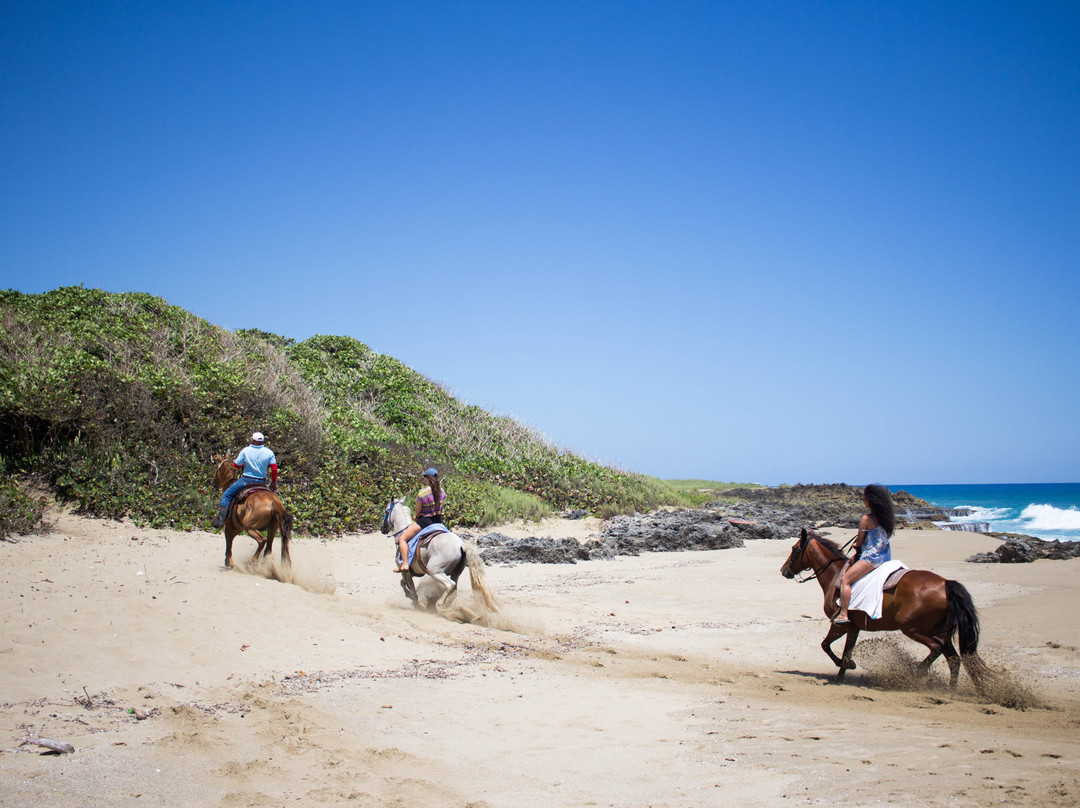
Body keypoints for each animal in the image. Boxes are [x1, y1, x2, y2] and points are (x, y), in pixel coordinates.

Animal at [380, 494, 496, 622]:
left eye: (386, 511)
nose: (382, 528)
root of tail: (461, 545)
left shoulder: (406, 571)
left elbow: (411, 590)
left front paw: (416, 605)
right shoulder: (413, 572)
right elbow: (403, 583)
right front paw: (409, 595)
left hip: (435, 571)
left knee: (450, 585)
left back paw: (440, 605)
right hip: (455, 573)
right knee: (454, 590)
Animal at [781, 527, 989, 691]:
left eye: (795, 549)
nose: (783, 570)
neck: (835, 576)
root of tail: (946, 584)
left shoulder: (840, 624)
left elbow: (826, 645)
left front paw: (846, 664)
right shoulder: (854, 627)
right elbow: (847, 649)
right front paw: (842, 673)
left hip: (912, 628)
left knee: (937, 648)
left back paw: (916, 673)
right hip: (940, 632)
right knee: (953, 658)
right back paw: (951, 690)